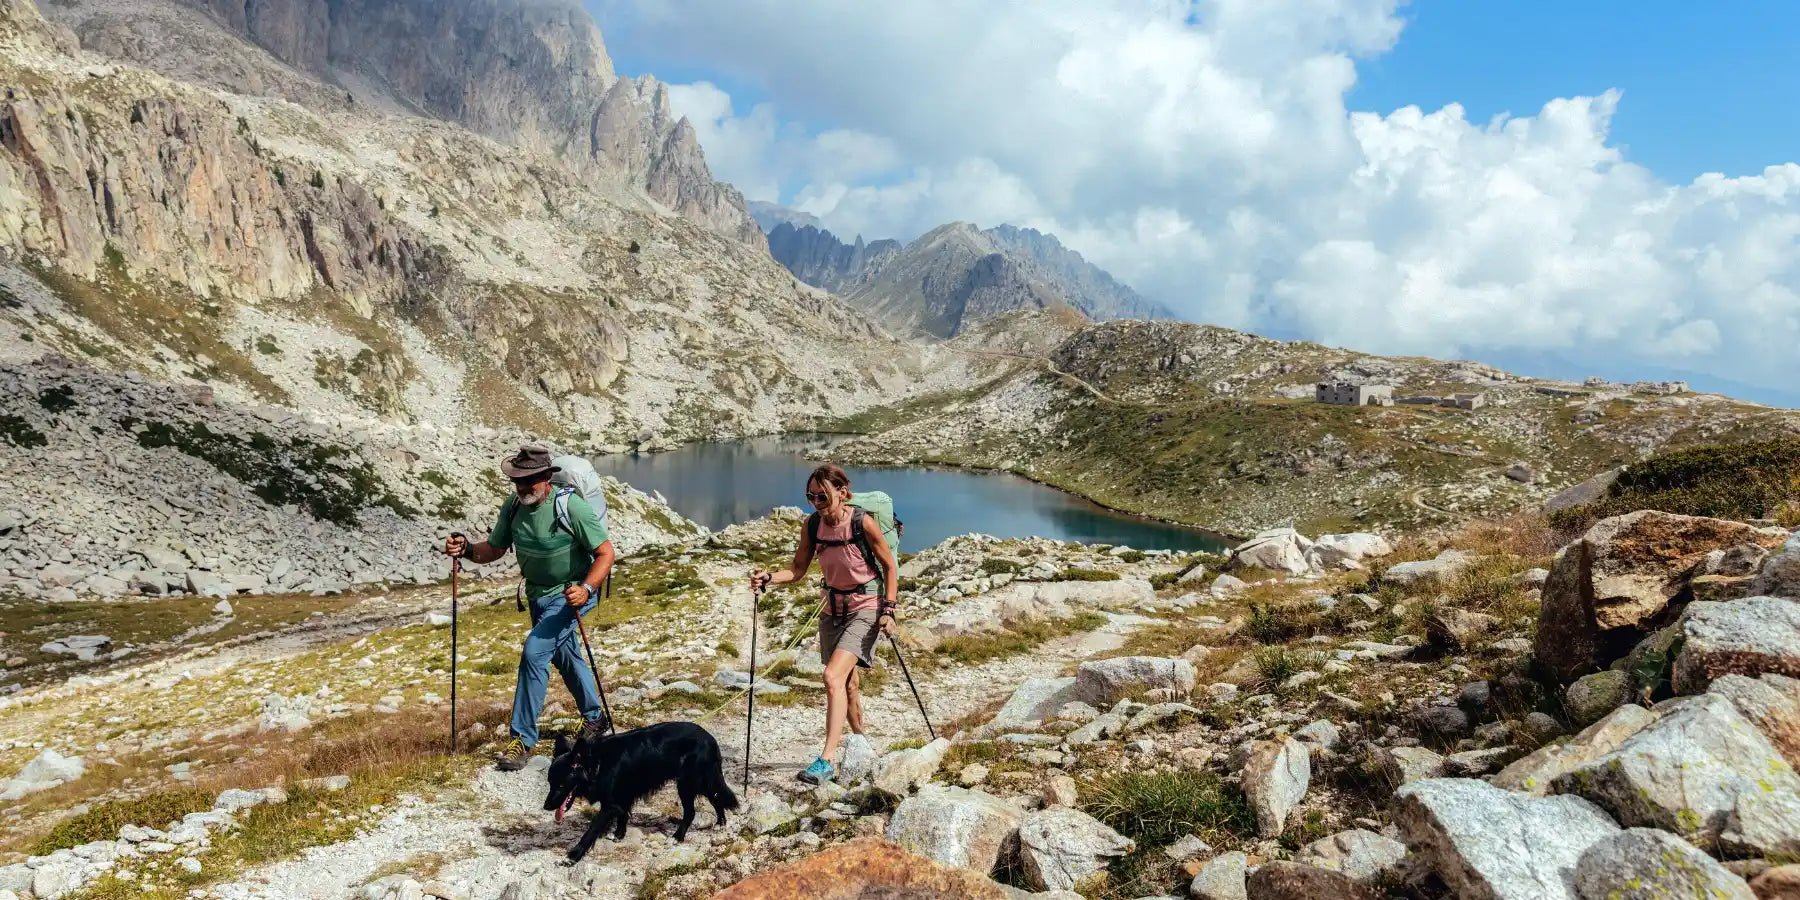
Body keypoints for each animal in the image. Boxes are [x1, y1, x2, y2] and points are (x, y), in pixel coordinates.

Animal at [540, 720, 738, 860]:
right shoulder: (623, 796)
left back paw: (678, 836)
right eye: (550, 783)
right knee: (716, 796)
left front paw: (574, 854)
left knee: (691, 811)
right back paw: (720, 822)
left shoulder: (610, 805)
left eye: (561, 785)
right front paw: (619, 835)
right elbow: (623, 815)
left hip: (687, 783)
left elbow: (592, 829)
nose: (546, 807)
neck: (597, 764)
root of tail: (710, 739)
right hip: (700, 781)